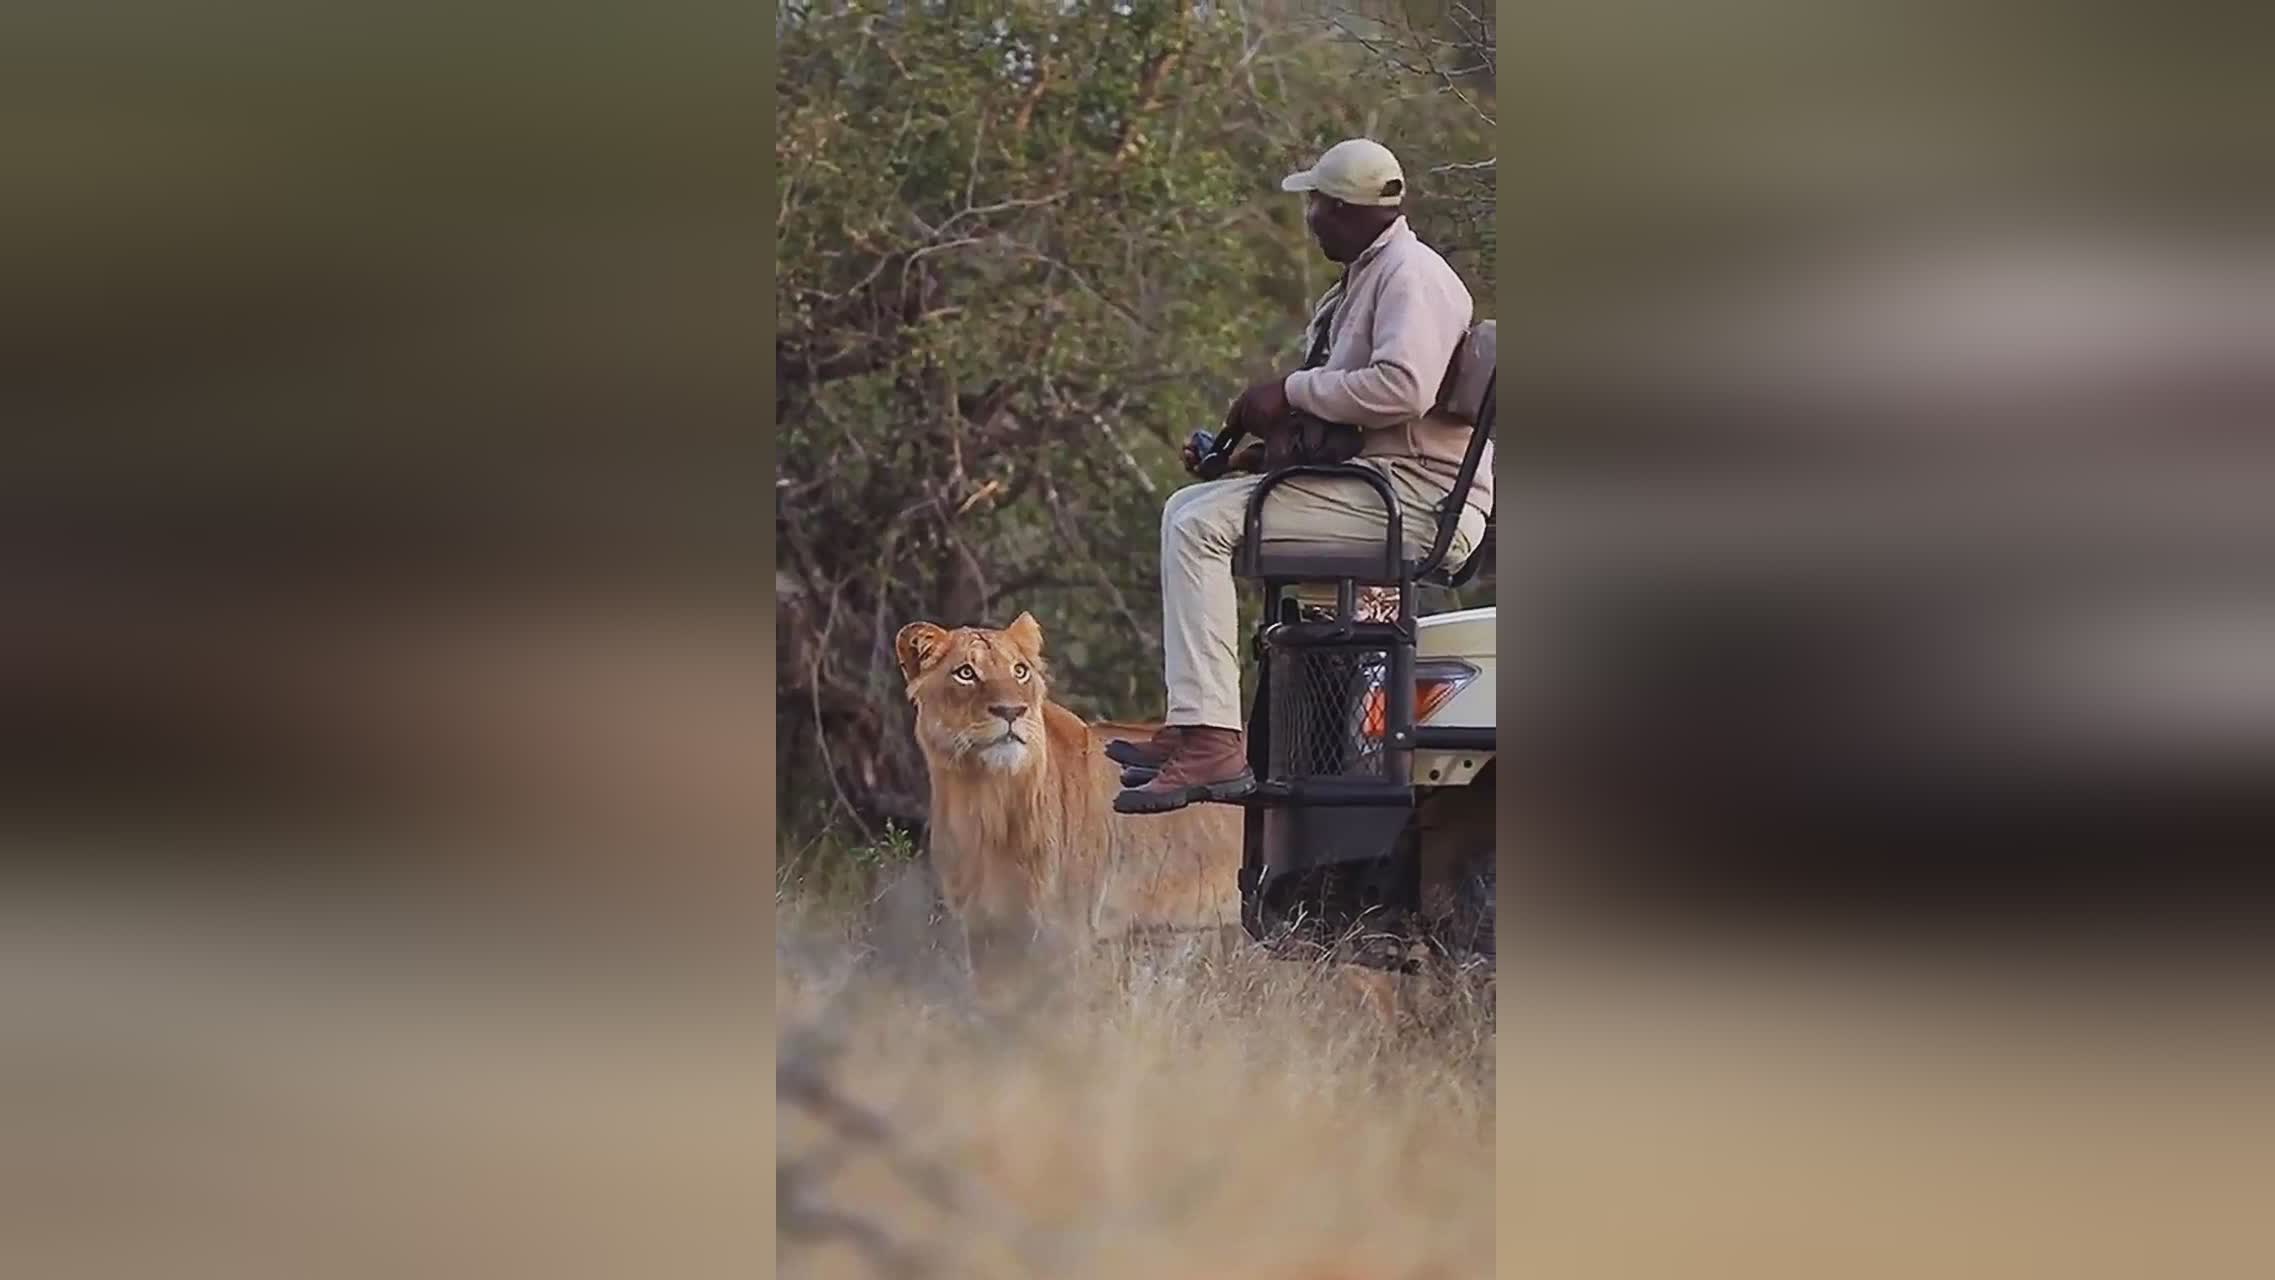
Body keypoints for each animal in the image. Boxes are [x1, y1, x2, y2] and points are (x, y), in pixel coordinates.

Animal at [896, 609, 1246, 963]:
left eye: (1019, 671)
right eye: (965, 673)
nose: (1011, 711)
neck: (986, 799)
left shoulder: (1069, 935)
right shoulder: (982, 932)